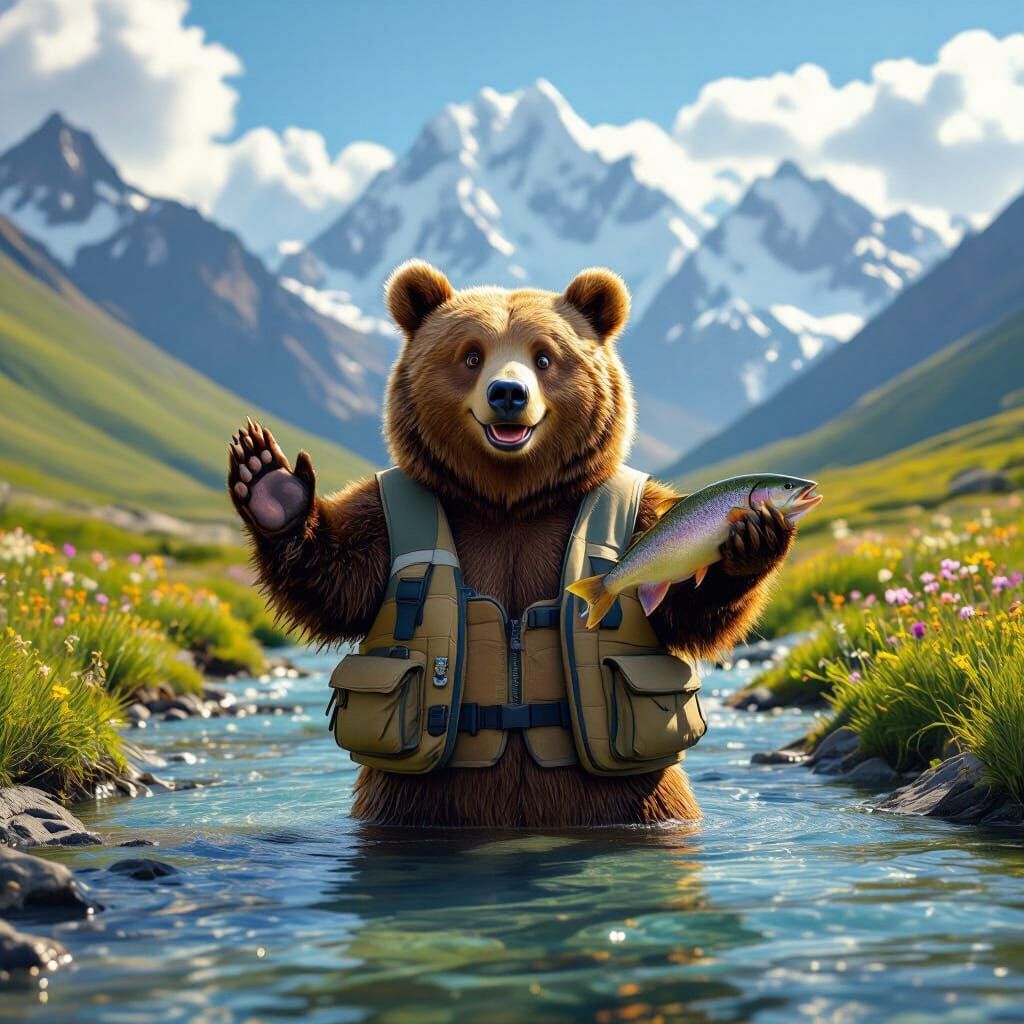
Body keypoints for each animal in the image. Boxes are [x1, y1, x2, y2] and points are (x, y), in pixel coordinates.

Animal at [227, 262, 795, 827]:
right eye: (471, 355)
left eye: (544, 357)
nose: (507, 393)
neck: (510, 502)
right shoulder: (381, 521)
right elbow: (340, 587)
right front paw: (271, 485)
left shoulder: (647, 517)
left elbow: (683, 614)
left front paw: (752, 542)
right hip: (414, 801)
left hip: (635, 798)